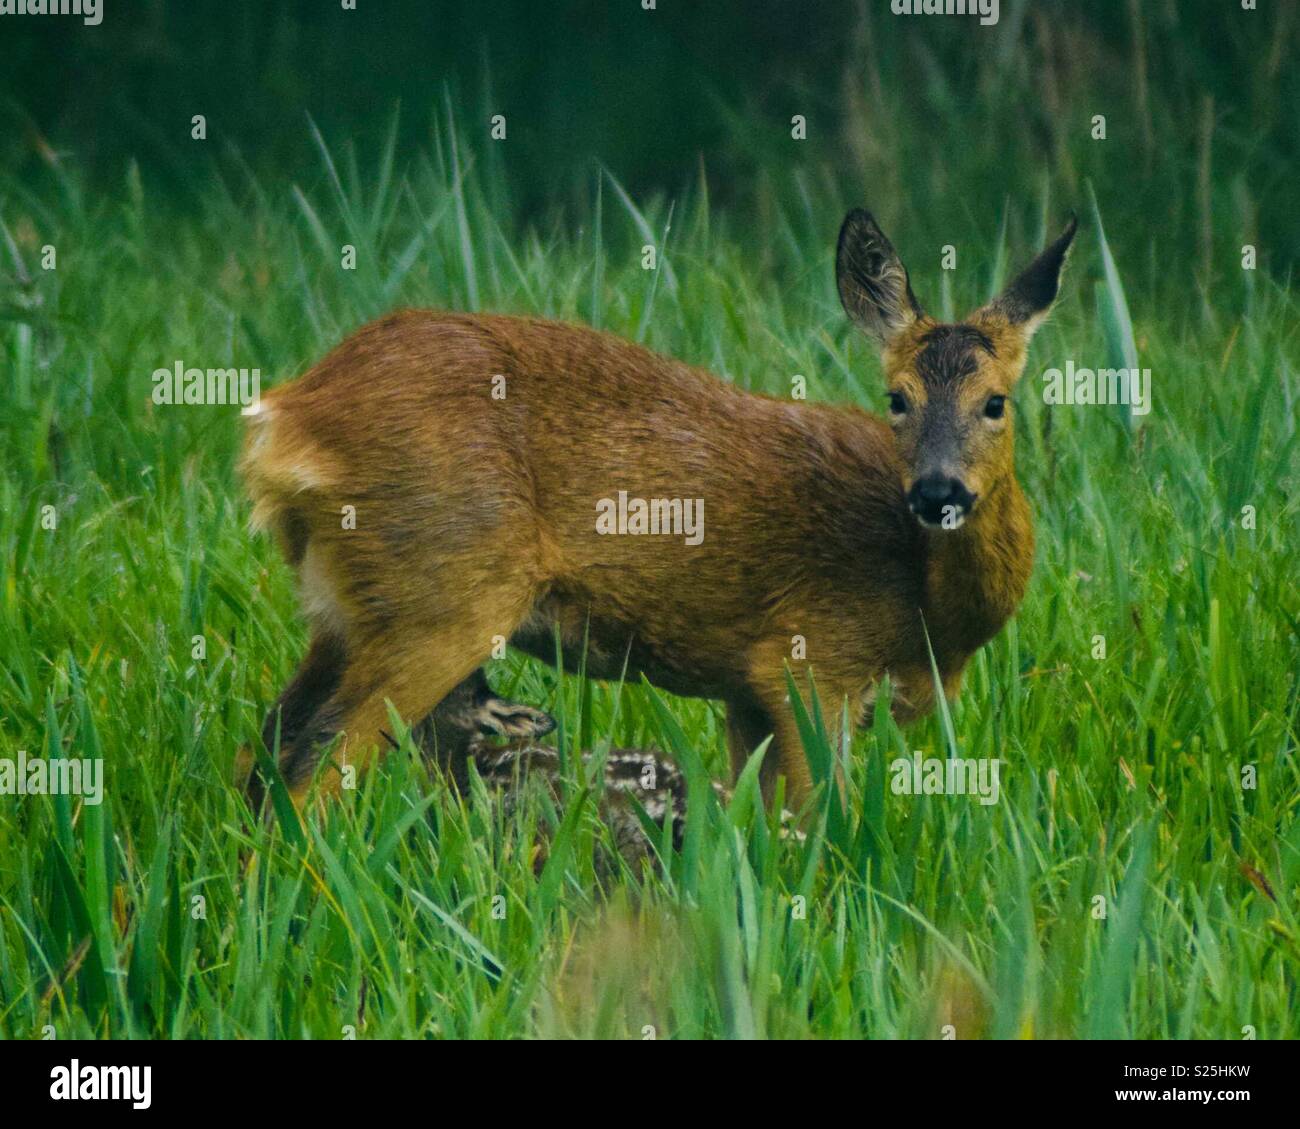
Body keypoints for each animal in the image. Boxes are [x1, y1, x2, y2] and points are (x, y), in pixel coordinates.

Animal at [244, 209, 1076, 811]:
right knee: (313, 773)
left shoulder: (746, 689)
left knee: (264, 753)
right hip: (442, 593)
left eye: (995, 401)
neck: (930, 609)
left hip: (343, 608)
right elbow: (824, 819)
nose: (937, 492)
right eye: (896, 397)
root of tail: (287, 416)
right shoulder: (810, 659)